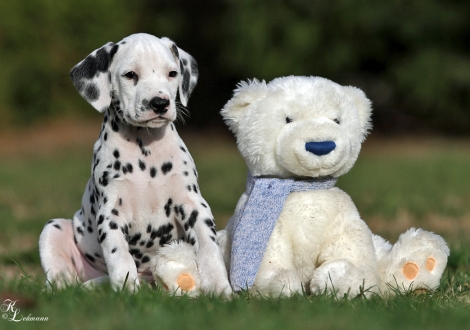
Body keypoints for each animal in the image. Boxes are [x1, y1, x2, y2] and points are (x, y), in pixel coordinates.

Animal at [38, 33, 231, 296]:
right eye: (130, 75)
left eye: (172, 73)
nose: (160, 103)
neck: (145, 149)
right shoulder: (110, 214)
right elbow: (119, 256)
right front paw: (127, 292)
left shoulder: (193, 205)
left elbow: (209, 249)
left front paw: (220, 288)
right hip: (53, 228)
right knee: (61, 277)